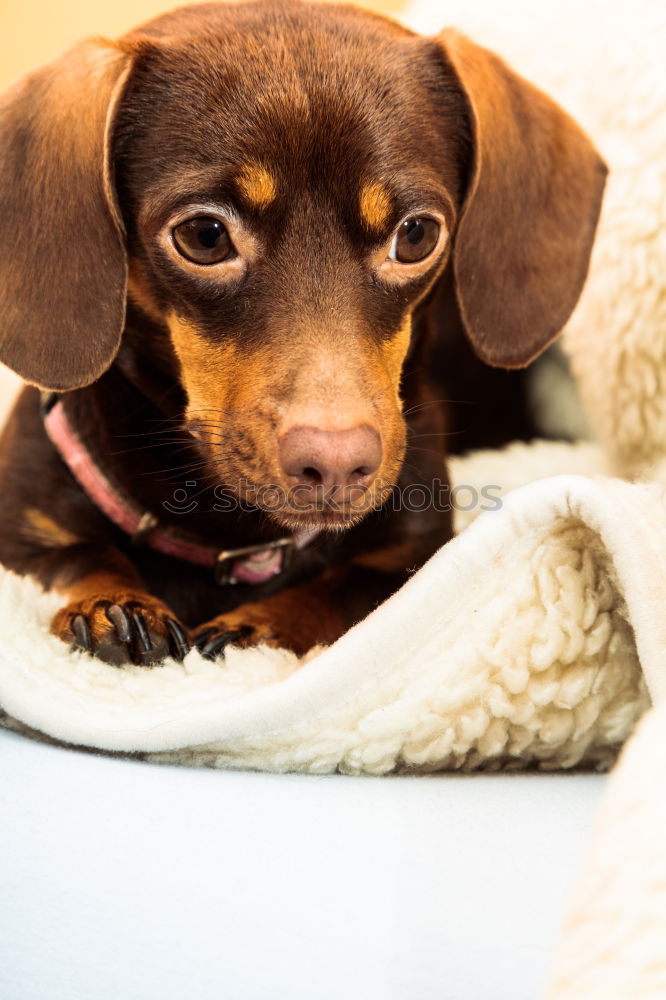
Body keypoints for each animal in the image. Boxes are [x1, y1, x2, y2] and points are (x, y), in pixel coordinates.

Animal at [0, 3, 604, 668]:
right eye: (204, 236)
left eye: (417, 234)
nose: (336, 466)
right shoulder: (22, 531)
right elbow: (77, 556)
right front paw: (114, 606)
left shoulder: (412, 553)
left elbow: (345, 592)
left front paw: (262, 625)